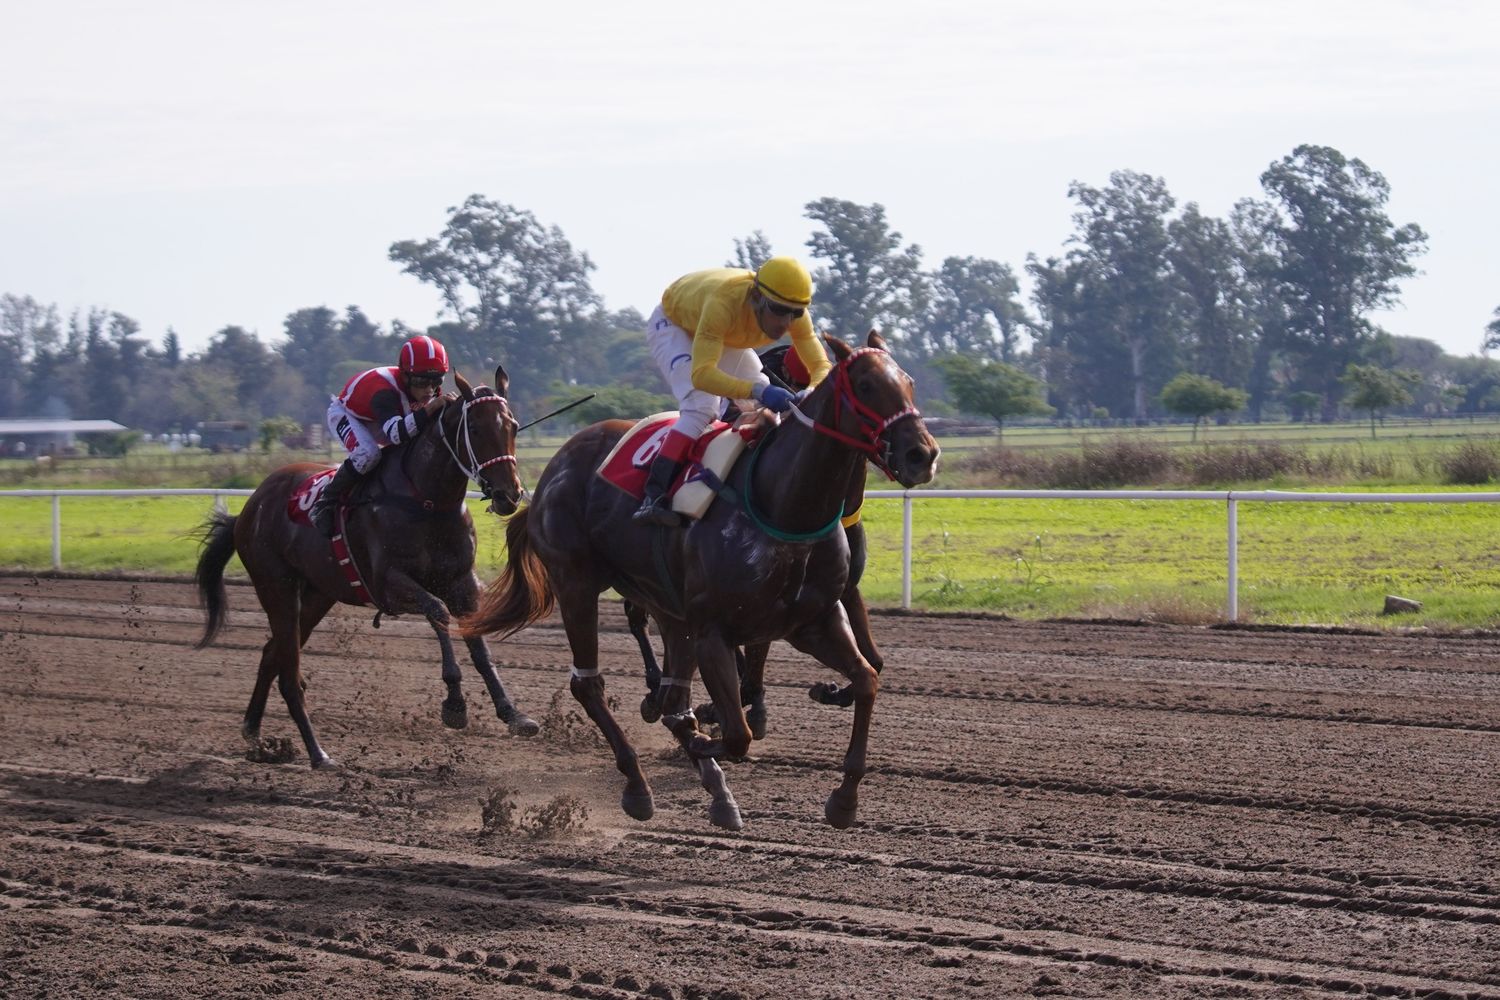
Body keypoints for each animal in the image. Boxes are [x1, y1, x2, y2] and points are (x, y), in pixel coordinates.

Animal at [190, 367, 537, 767]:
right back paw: (317, 754)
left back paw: (255, 733)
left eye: (513, 426)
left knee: (271, 655)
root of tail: (249, 509)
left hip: (317, 596)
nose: (509, 495)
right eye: (476, 429)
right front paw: (454, 703)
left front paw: (513, 714)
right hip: (276, 588)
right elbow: (437, 612)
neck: (426, 500)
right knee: (289, 673)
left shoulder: (461, 583)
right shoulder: (390, 584)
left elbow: (479, 649)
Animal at [456, 334, 936, 827]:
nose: (922, 454)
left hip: (666, 605)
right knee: (589, 684)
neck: (781, 505)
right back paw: (639, 784)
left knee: (672, 694)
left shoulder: (814, 620)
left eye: (909, 382)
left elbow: (866, 677)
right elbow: (737, 732)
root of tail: (552, 471)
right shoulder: (714, 632)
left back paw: (715, 787)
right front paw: (708, 734)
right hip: (576, 584)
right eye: (865, 385)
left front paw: (843, 798)